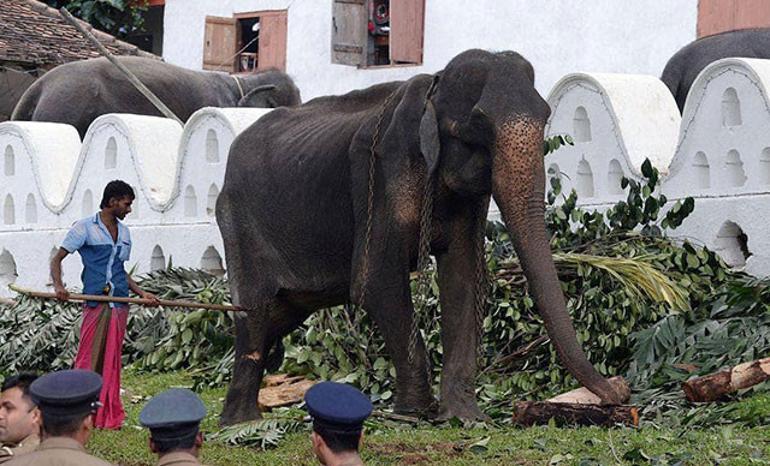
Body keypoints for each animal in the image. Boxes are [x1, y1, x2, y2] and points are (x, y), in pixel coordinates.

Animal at [214, 49, 624, 424]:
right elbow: (376, 281)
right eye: (475, 129)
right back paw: (241, 423)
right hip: (238, 224)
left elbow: (464, 279)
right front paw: (413, 413)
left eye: (545, 117)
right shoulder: (381, 175)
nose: (618, 394)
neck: (434, 85)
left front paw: (465, 418)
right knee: (255, 314)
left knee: (278, 314)